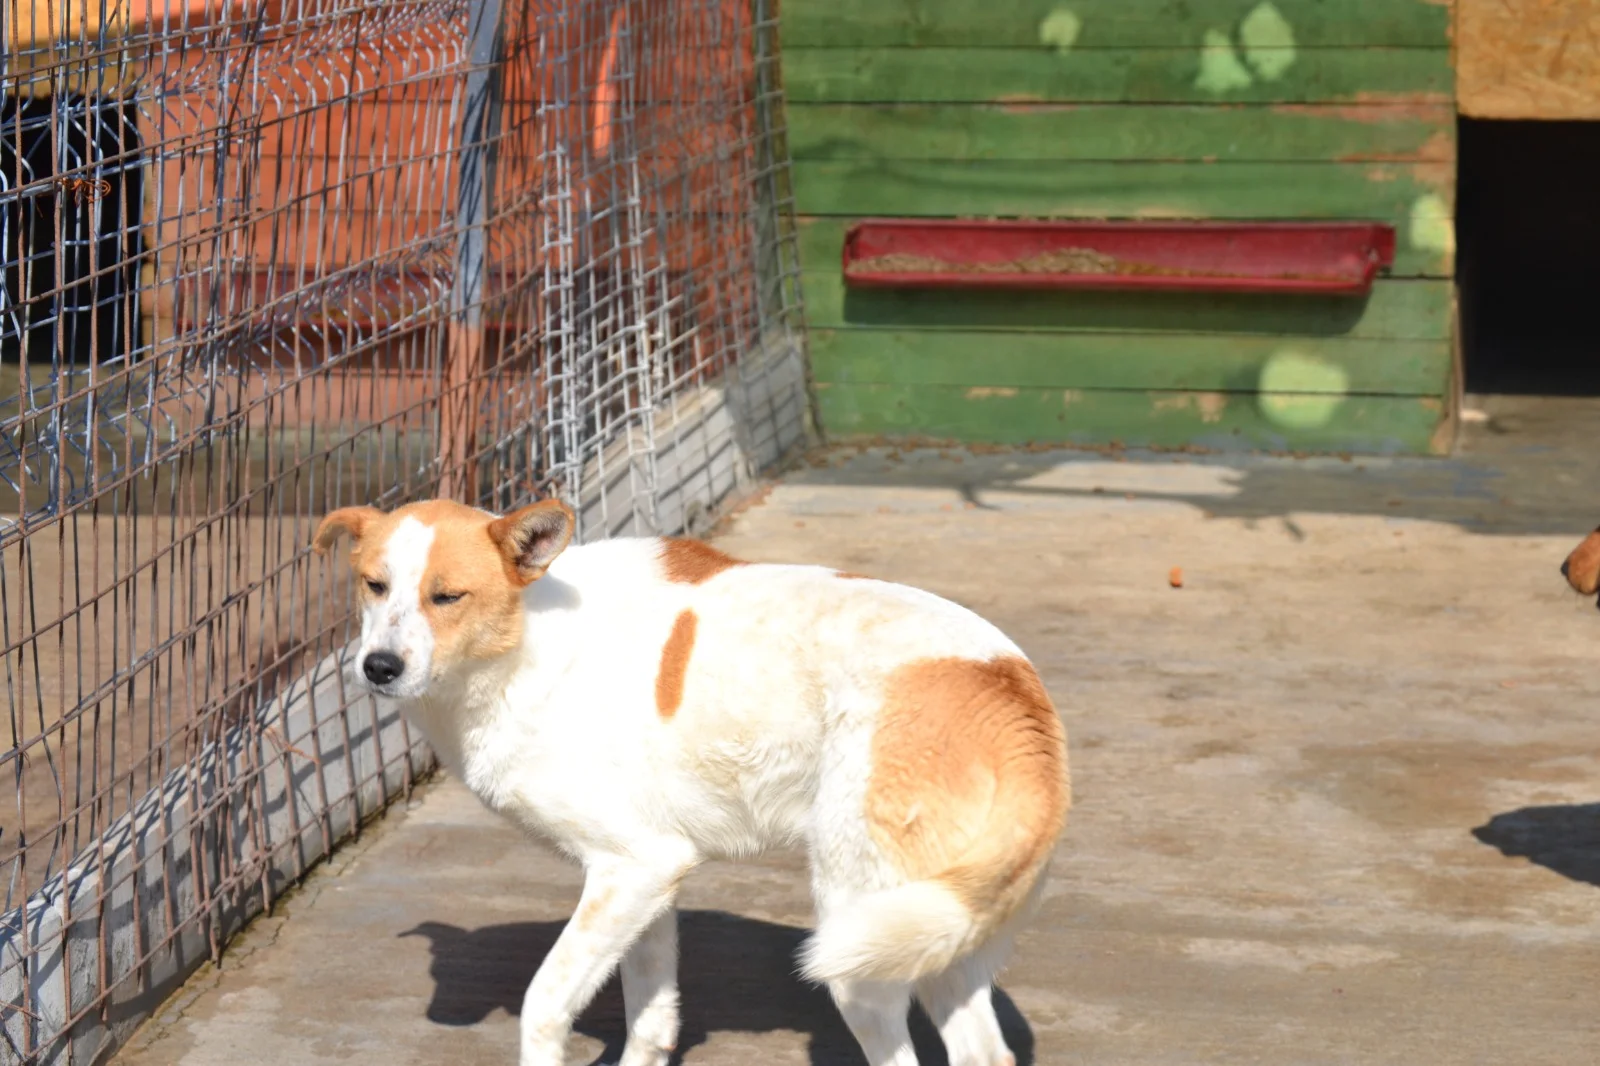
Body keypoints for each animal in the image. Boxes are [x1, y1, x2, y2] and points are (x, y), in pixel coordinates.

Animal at [314, 498, 1070, 1066]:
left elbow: (543, 1005)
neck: (529, 642)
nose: (378, 667)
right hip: (943, 936)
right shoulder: (652, 881)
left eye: (447, 597)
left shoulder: (631, 868)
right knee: (984, 1052)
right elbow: (650, 1021)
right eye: (374, 585)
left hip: (861, 951)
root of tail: (1013, 690)